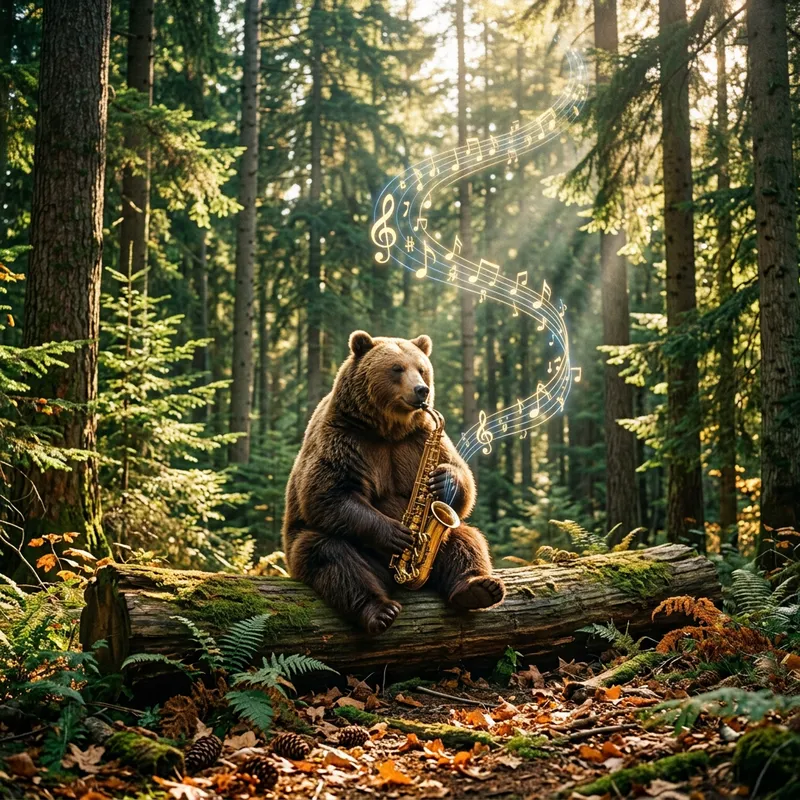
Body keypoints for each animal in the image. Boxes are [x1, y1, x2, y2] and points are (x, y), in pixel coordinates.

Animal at [282, 330, 506, 635]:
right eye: (397, 368)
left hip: (443, 542)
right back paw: (380, 610)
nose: (422, 390)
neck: (388, 429)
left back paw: (479, 588)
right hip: (307, 547)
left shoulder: (419, 438)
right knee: (330, 556)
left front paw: (443, 479)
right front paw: (396, 533)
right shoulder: (343, 438)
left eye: (422, 369)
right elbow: (328, 494)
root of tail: (395, 578)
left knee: (465, 539)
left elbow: (462, 479)